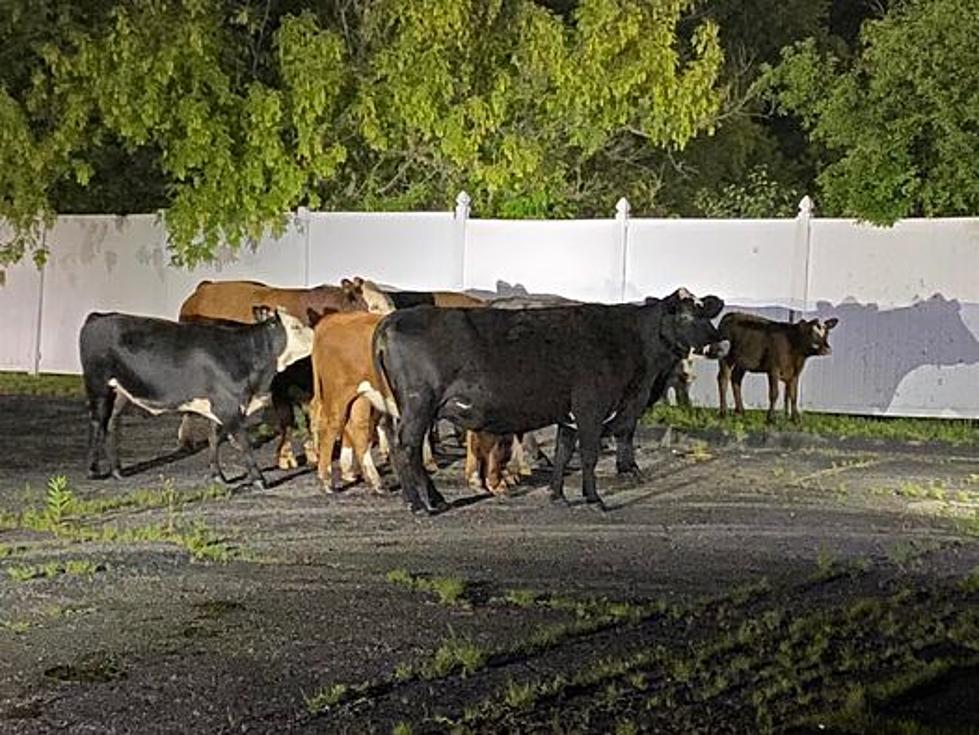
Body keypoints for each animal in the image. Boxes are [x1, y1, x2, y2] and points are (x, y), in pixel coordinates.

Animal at [79, 310, 314, 488]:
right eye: (295, 327)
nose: (315, 333)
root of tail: (99, 316)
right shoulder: (227, 406)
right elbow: (243, 442)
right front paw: (259, 480)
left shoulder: (220, 407)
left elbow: (214, 439)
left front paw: (218, 476)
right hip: (98, 386)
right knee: (96, 422)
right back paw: (92, 471)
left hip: (120, 392)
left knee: (111, 423)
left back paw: (117, 471)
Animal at [376, 288, 728, 512]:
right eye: (685, 317)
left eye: (705, 313)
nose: (719, 343)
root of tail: (393, 320)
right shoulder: (590, 408)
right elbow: (588, 455)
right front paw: (594, 499)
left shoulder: (569, 414)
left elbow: (563, 452)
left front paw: (558, 496)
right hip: (419, 404)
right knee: (406, 447)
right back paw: (421, 504)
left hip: (406, 408)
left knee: (399, 446)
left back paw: (428, 499)